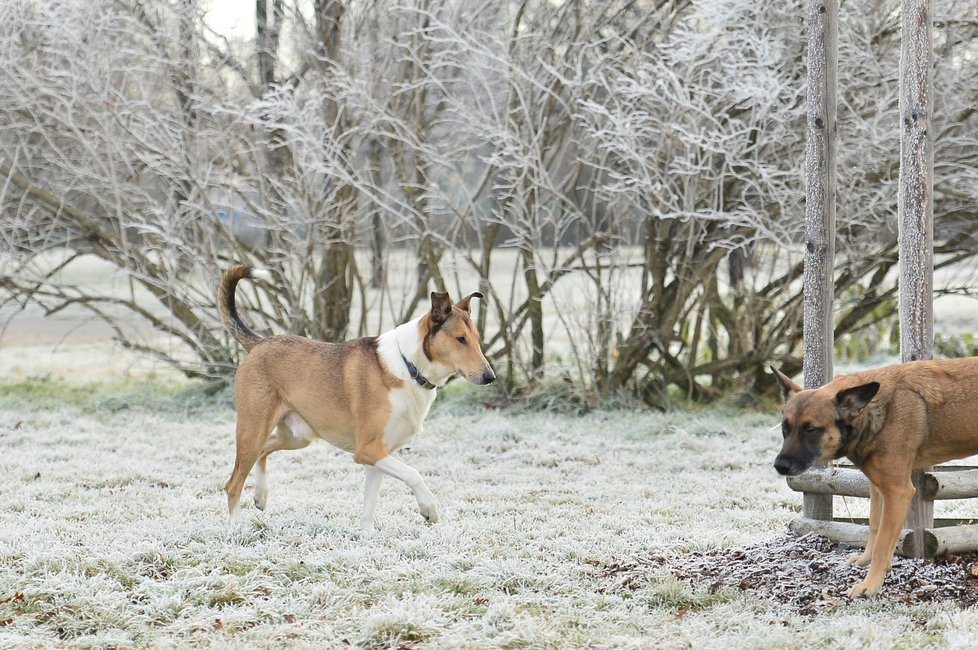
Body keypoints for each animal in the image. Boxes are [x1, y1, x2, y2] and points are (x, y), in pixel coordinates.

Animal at [221, 262, 496, 528]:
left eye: (476, 338)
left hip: (296, 436)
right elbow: (413, 473)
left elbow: (369, 507)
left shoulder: (378, 455)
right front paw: (429, 509)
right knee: (233, 482)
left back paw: (260, 496)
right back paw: (236, 529)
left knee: (264, 451)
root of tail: (259, 343)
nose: (489, 377)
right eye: (460, 339)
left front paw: (366, 536)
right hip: (253, 430)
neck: (409, 367)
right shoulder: (367, 450)